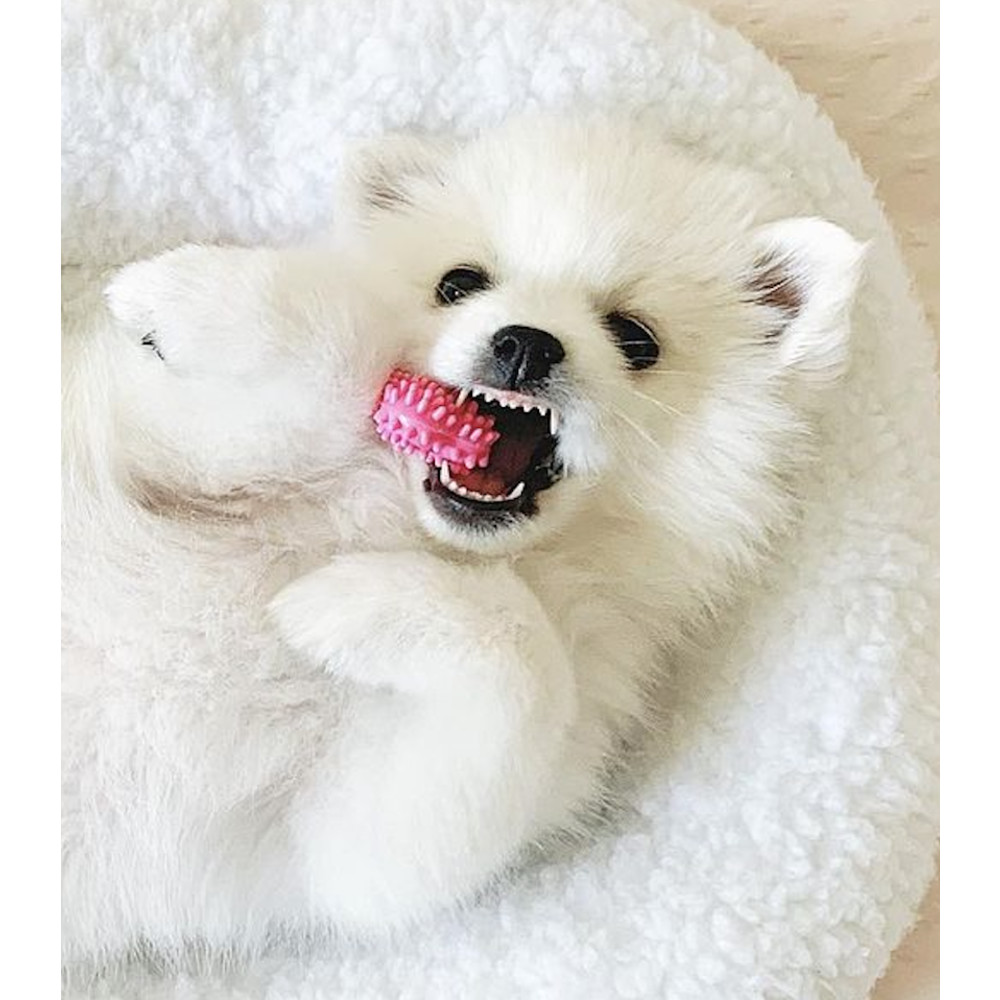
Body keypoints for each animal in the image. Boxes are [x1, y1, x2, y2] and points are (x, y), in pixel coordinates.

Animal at [62, 113, 864, 964]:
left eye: (635, 337)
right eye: (458, 284)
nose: (526, 342)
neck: (420, 531)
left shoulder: (367, 831)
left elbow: (522, 669)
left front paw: (341, 605)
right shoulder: (132, 425)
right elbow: (329, 355)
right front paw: (181, 293)